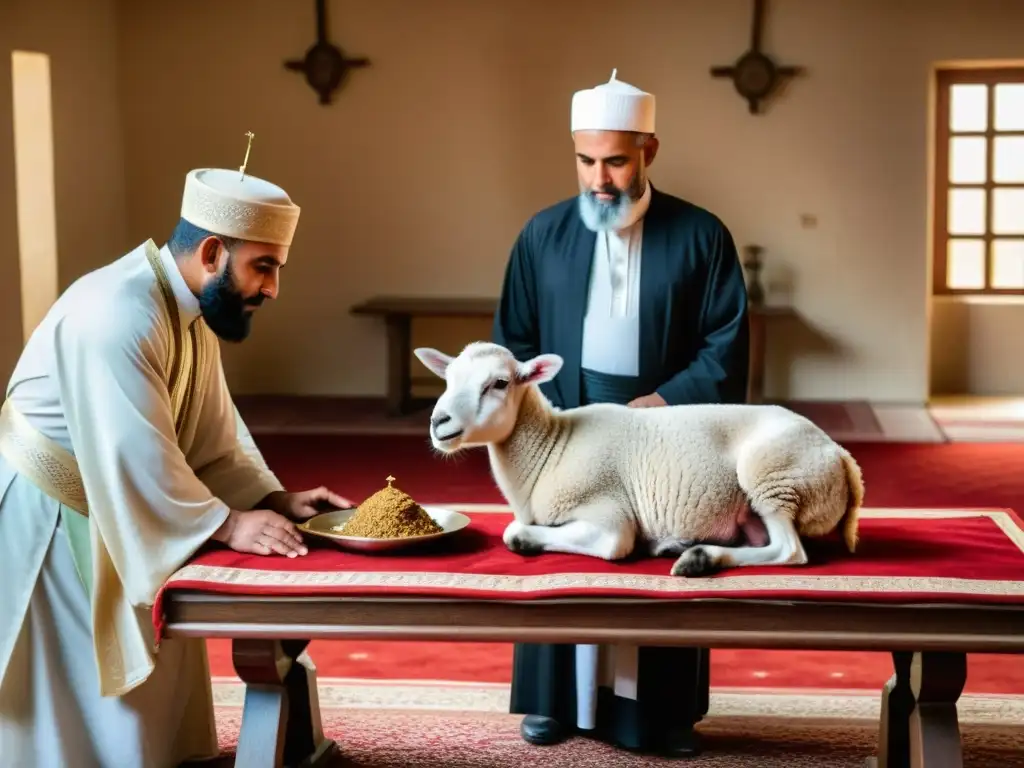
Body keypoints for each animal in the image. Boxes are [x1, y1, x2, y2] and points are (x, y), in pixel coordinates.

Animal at [413, 342, 864, 577]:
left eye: (500, 383)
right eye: (448, 380)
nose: (438, 422)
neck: (550, 448)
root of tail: (841, 455)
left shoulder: (609, 516)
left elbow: (518, 532)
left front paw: (525, 538)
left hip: (774, 476)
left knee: (789, 551)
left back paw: (699, 559)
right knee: (768, 543)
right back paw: (683, 548)